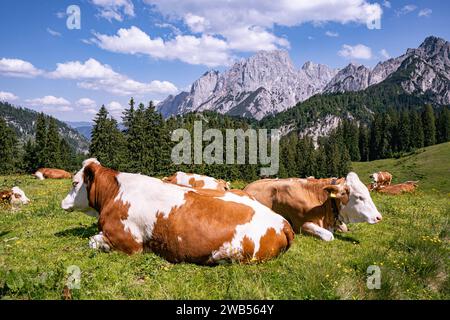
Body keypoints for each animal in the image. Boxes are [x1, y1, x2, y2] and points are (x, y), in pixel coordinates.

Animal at [61, 158, 294, 264]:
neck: (114, 194)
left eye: (74, 183)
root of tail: (282, 222)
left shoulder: (128, 242)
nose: (63, 203)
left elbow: (92, 241)